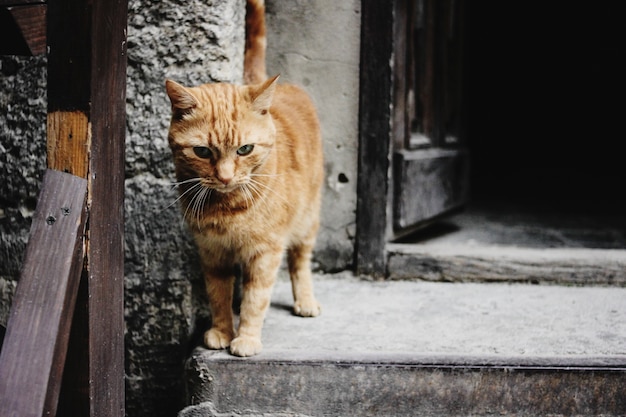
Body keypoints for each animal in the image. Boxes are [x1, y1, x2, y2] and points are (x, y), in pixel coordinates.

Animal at [165, 0, 322, 358]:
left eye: (245, 149)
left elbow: (255, 299)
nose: (224, 177)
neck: (227, 207)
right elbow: (218, 295)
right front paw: (222, 332)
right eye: (202, 152)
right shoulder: (212, 252)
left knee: (300, 262)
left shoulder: (265, 252)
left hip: (308, 219)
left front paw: (247, 338)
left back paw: (306, 301)